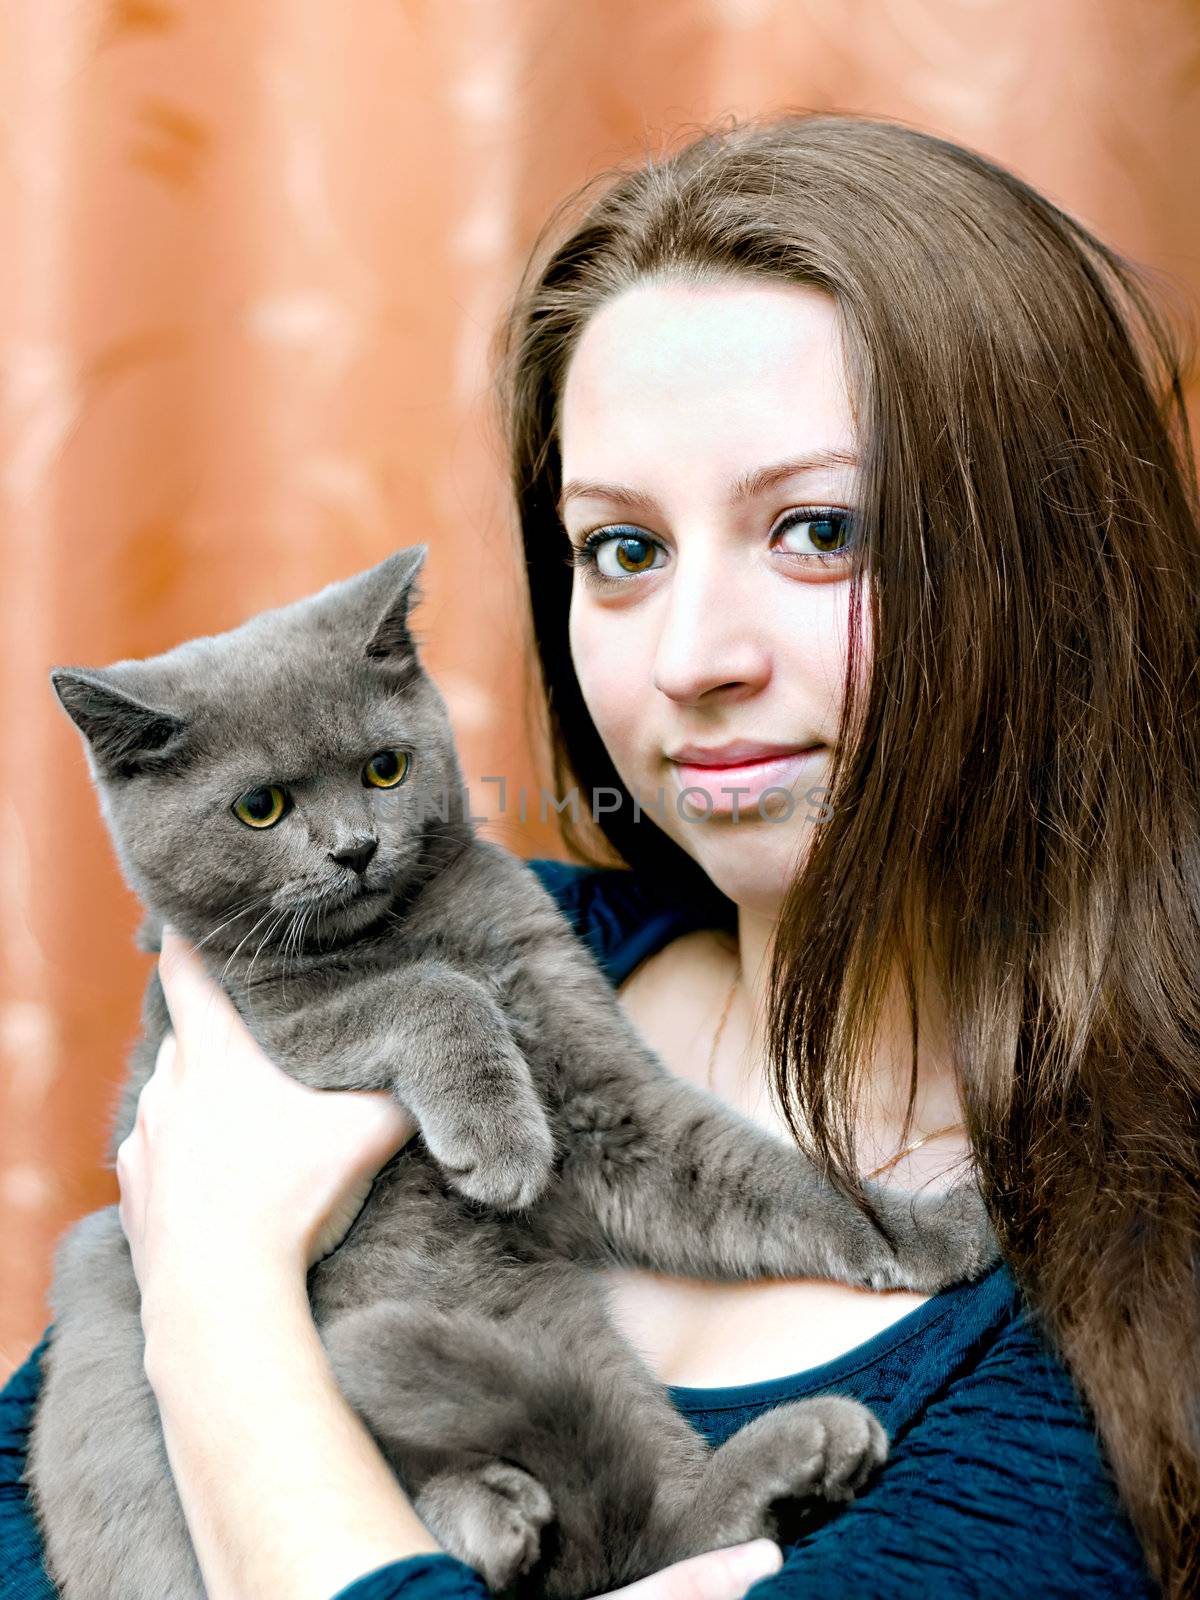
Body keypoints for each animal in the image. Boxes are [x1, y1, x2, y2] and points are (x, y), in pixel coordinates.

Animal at [25, 550, 998, 1600]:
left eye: (384, 768)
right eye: (260, 808)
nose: (355, 849)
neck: (411, 926)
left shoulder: (596, 1078)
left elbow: (768, 1174)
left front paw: (933, 1232)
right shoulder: (261, 1023)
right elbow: (432, 992)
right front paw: (500, 1145)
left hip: (550, 1322)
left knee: (657, 1531)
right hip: (106, 1300)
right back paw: (489, 1512)